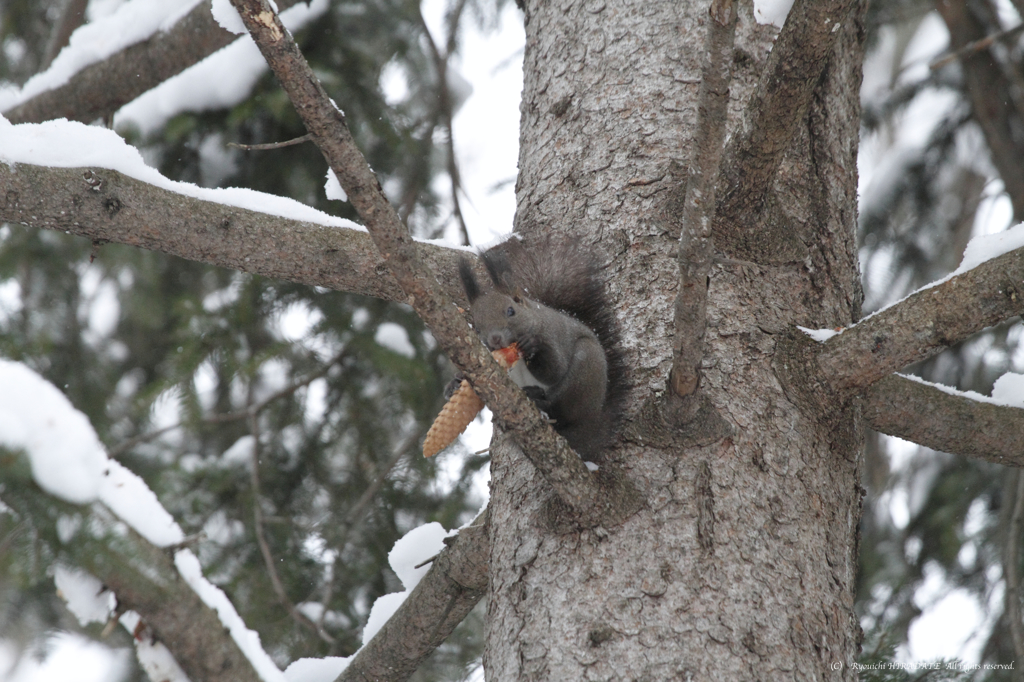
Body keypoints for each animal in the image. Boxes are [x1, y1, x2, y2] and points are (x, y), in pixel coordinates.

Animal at [452, 236, 626, 458]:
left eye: (511, 311)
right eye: (476, 325)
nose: (495, 338)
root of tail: (592, 428)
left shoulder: (552, 337)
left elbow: (555, 370)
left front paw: (531, 347)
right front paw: (456, 382)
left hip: (585, 369)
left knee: (560, 408)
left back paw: (539, 398)